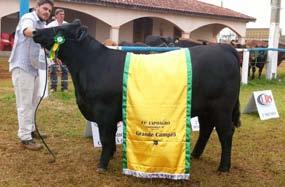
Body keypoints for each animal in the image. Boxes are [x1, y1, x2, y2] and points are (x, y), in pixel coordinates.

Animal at [33, 20, 242, 172]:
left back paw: (223, 167)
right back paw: (195, 155)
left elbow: (106, 138)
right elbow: (110, 138)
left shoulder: (104, 112)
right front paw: (111, 155)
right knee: (207, 129)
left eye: (60, 29)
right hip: (208, 108)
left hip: (222, 107)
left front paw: (102, 165)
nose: (35, 32)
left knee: (225, 133)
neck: (91, 65)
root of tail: (222, 48)